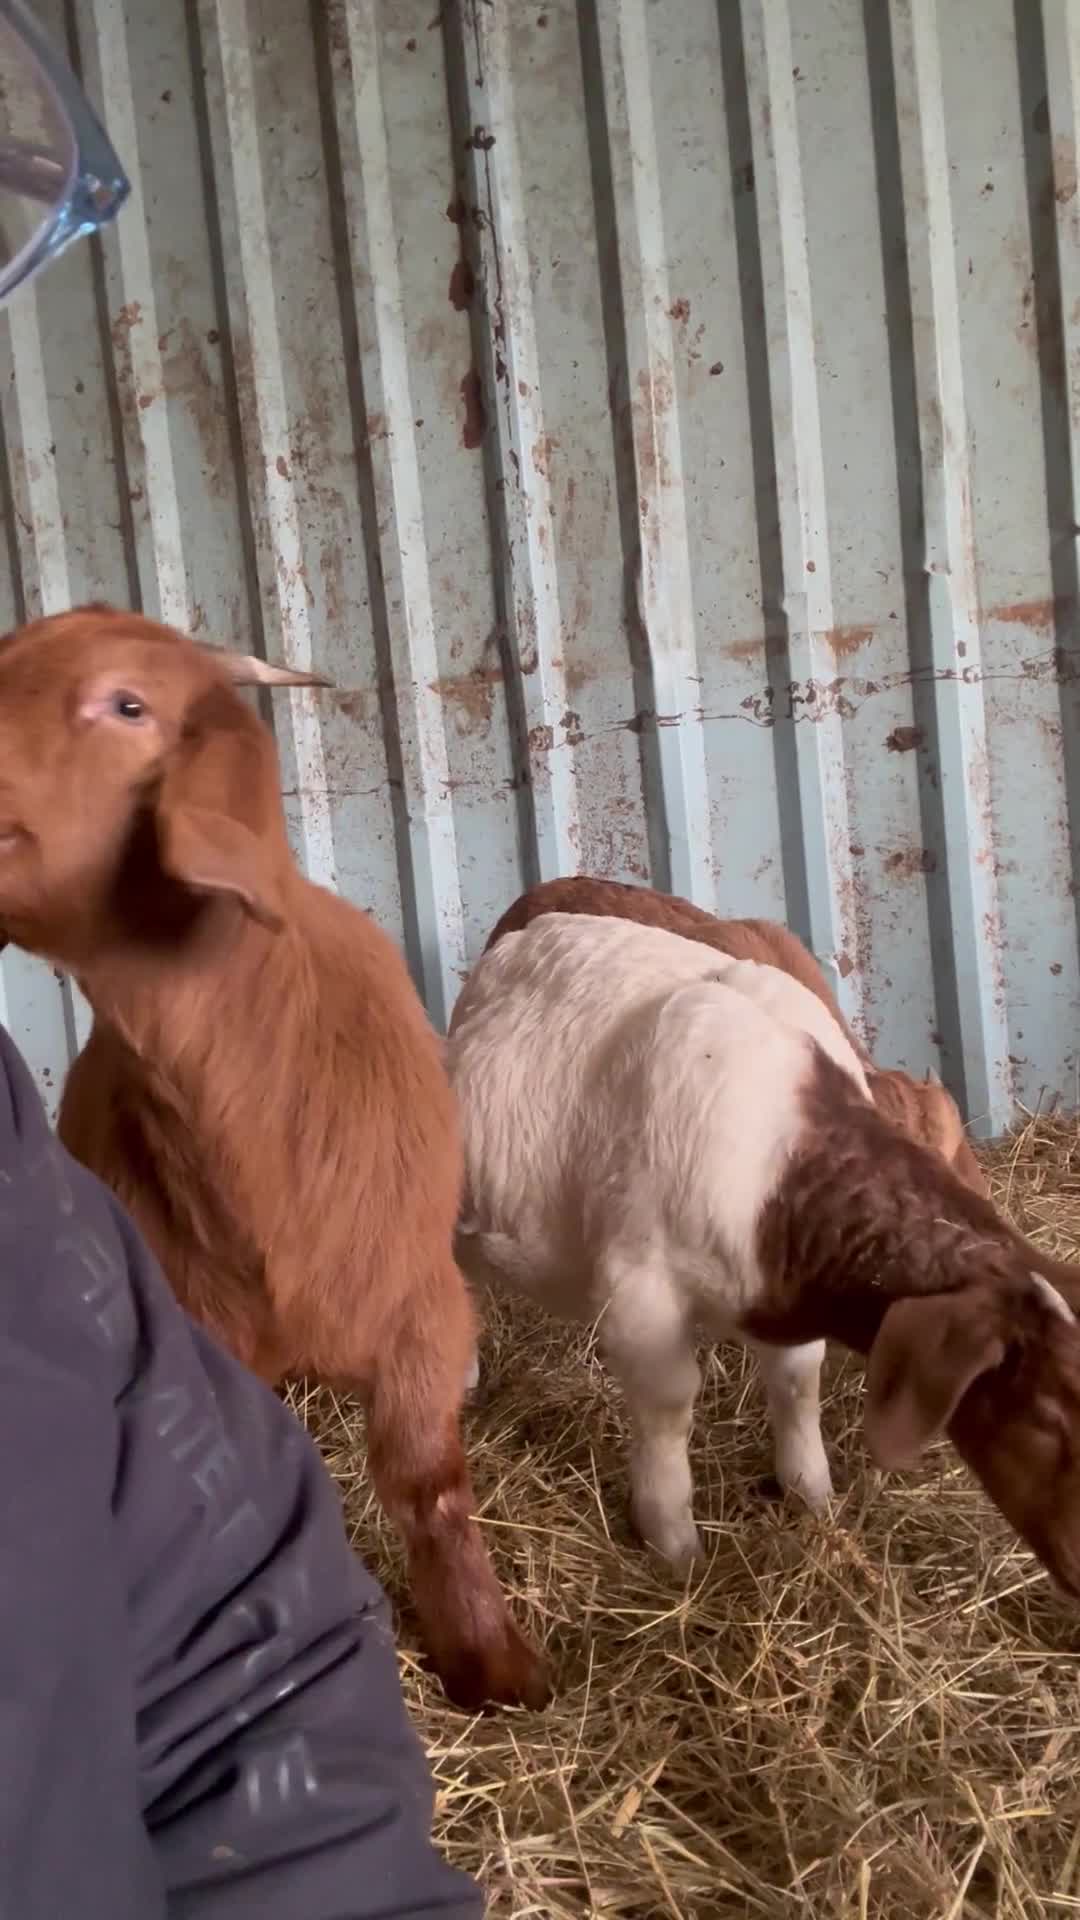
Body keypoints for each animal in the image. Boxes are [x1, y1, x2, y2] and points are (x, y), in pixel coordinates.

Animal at [447, 911, 1080, 1592]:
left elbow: (797, 1383)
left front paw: (813, 1498)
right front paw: (675, 1545)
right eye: (1044, 1415)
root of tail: (527, 934)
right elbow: (670, 1407)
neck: (785, 1164)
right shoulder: (641, 1298)